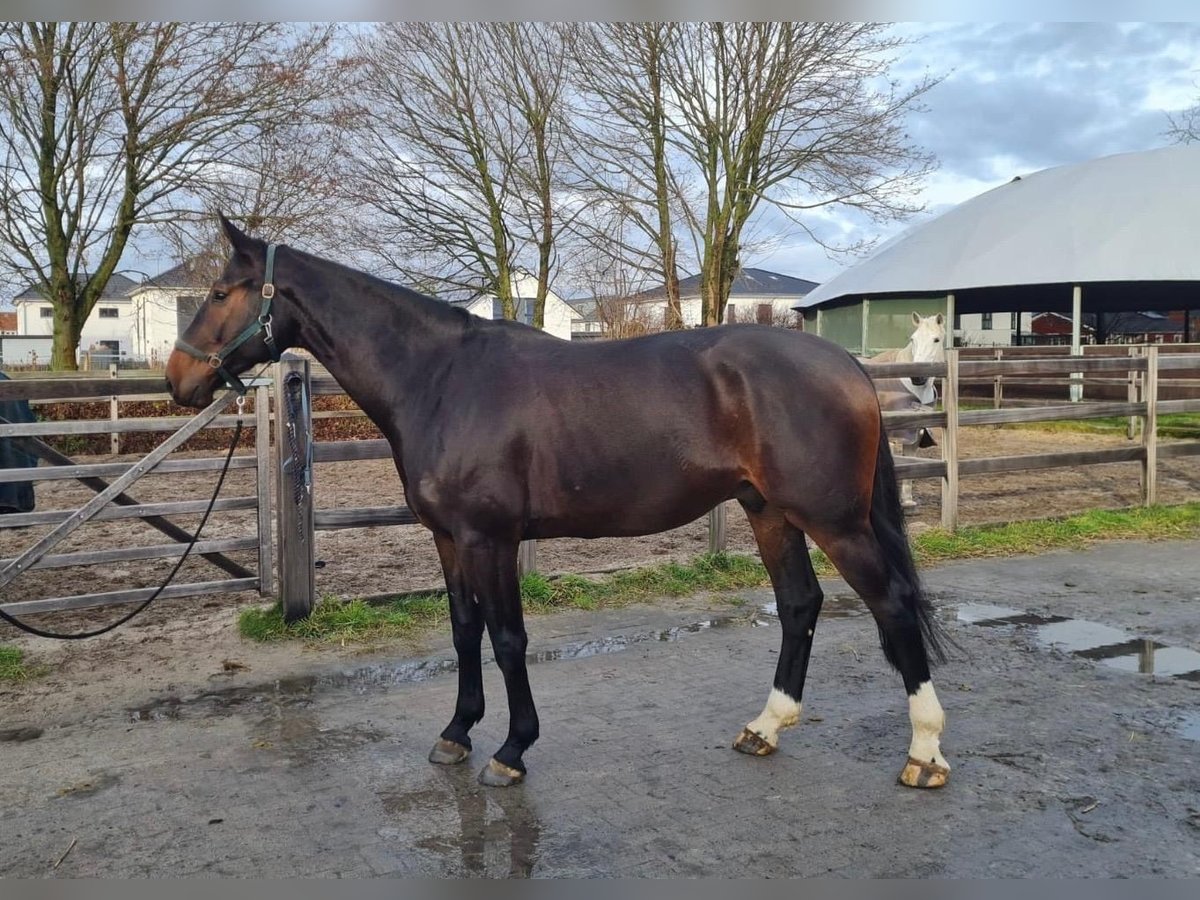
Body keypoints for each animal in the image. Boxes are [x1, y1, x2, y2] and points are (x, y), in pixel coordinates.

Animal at [864, 314, 945, 511]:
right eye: (912, 339)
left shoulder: (914, 433)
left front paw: (907, 501)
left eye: (936, 339)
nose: (917, 377)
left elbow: (910, 464)